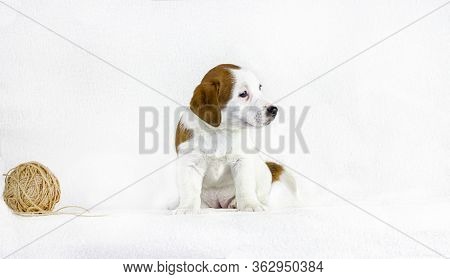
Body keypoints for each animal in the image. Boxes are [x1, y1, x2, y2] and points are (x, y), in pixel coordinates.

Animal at [174, 64, 298, 213]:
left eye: (259, 88)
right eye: (243, 94)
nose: (274, 110)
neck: (220, 132)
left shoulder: (242, 161)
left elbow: (245, 187)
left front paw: (250, 204)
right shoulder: (190, 163)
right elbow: (189, 190)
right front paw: (187, 207)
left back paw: (238, 203)